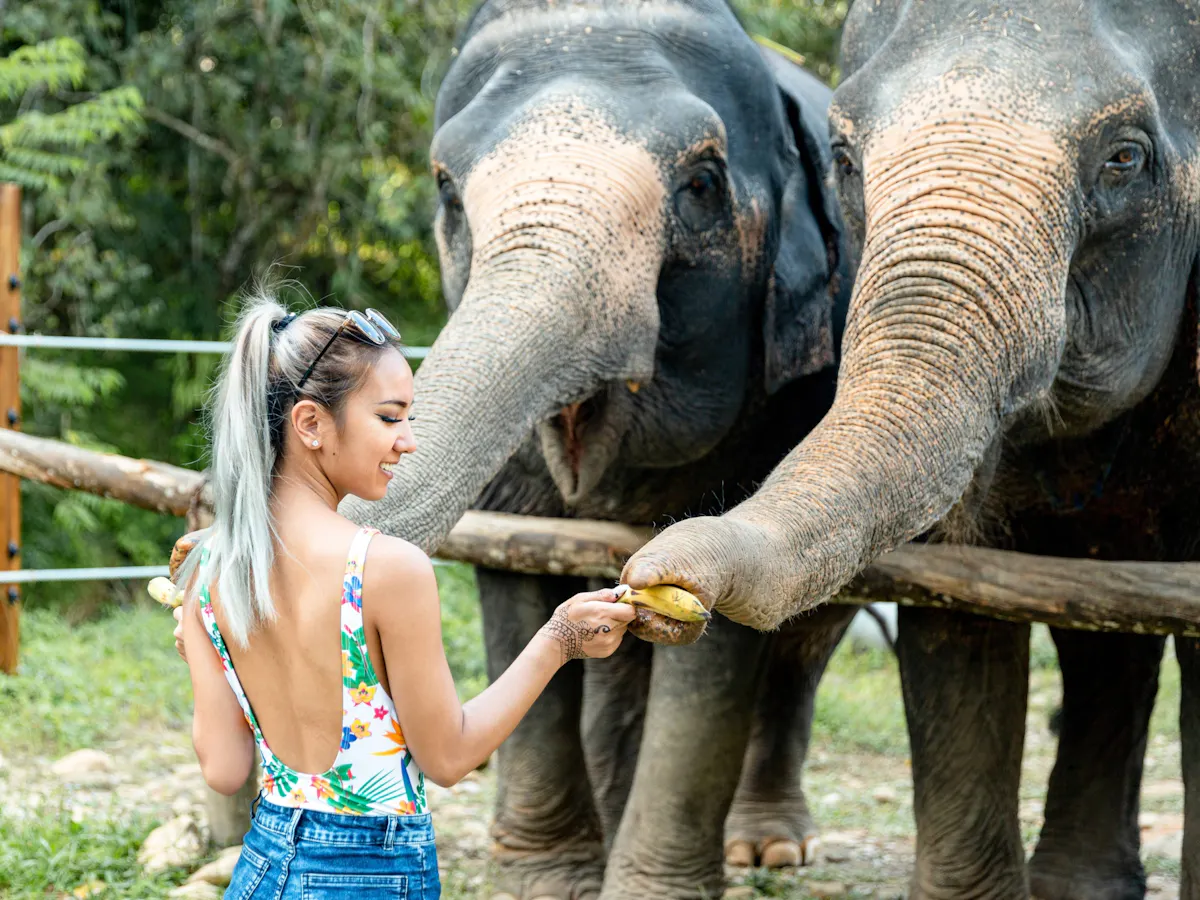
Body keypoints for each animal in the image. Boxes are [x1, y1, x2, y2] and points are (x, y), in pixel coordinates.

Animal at [333, 1, 860, 898]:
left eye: (703, 184)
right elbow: (511, 575)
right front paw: (551, 880)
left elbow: (721, 632)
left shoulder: (783, 400)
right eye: (446, 189)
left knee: (808, 643)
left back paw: (767, 848)